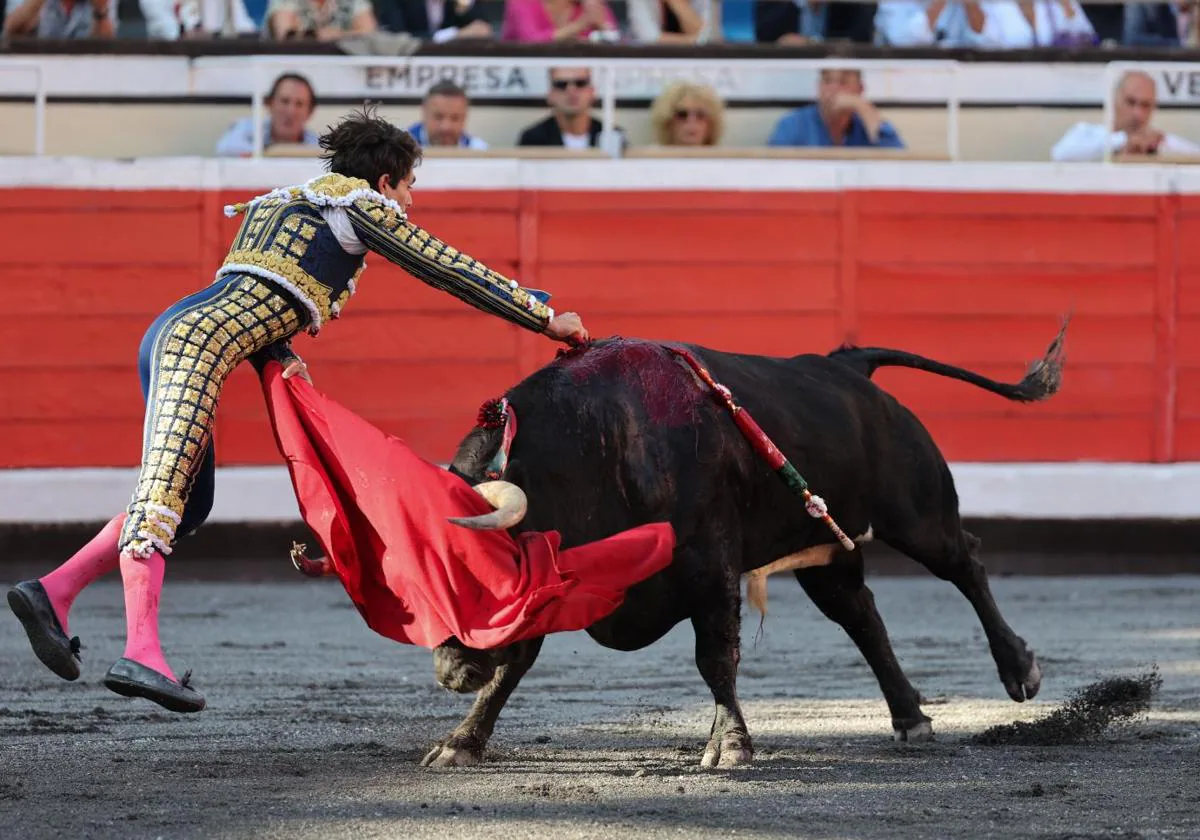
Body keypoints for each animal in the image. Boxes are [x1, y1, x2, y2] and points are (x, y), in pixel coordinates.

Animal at [424, 324, 1070, 772]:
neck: (598, 445)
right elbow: (513, 666)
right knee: (861, 615)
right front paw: (461, 744)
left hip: (917, 515)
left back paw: (1020, 670)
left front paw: (729, 747)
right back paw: (910, 718)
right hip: (826, 549)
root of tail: (844, 366)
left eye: (482, 576)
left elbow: (714, 656)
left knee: (965, 562)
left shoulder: (710, 565)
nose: (451, 672)